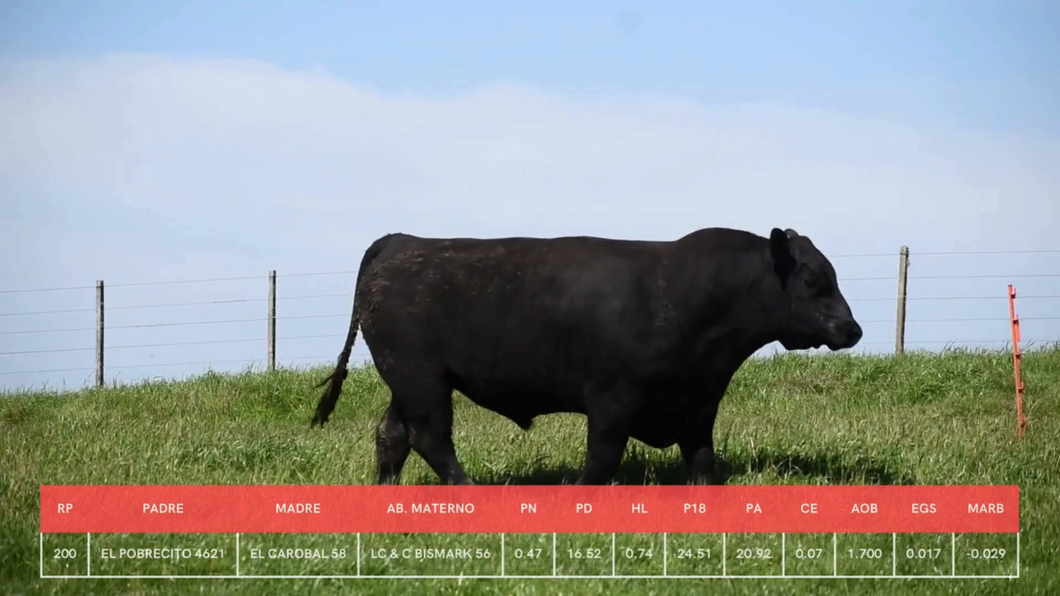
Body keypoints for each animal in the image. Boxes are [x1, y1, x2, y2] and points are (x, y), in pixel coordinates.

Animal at [307, 224, 860, 485]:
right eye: (813, 279)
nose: (851, 328)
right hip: (420, 377)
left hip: (408, 380)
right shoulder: (613, 399)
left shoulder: (698, 403)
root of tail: (401, 241)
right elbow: (601, 459)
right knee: (431, 438)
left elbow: (703, 461)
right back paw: (468, 489)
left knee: (393, 436)